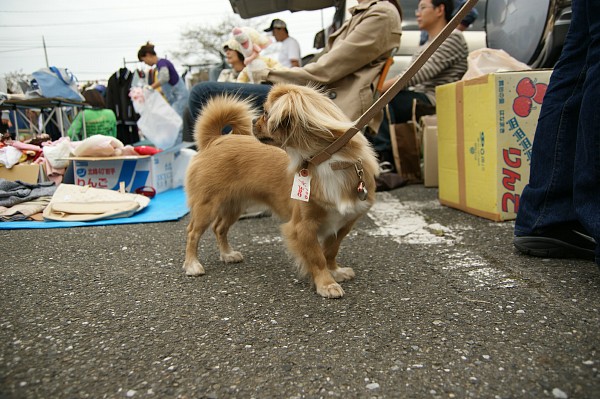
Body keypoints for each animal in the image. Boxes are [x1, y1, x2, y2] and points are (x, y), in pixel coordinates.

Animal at [184, 83, 380, 296]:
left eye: (266, 114)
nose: (253, 120)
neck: (326, 162)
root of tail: (215, 140)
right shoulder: (303, 227)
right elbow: (317, 257)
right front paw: (326, 283)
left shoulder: (343, 225)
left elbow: (330, 252)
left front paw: (335, 271)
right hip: (207, 205)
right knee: (193, 233)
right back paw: (192, 264)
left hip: (234, 205)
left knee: (219, 228)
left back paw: (227, 254)